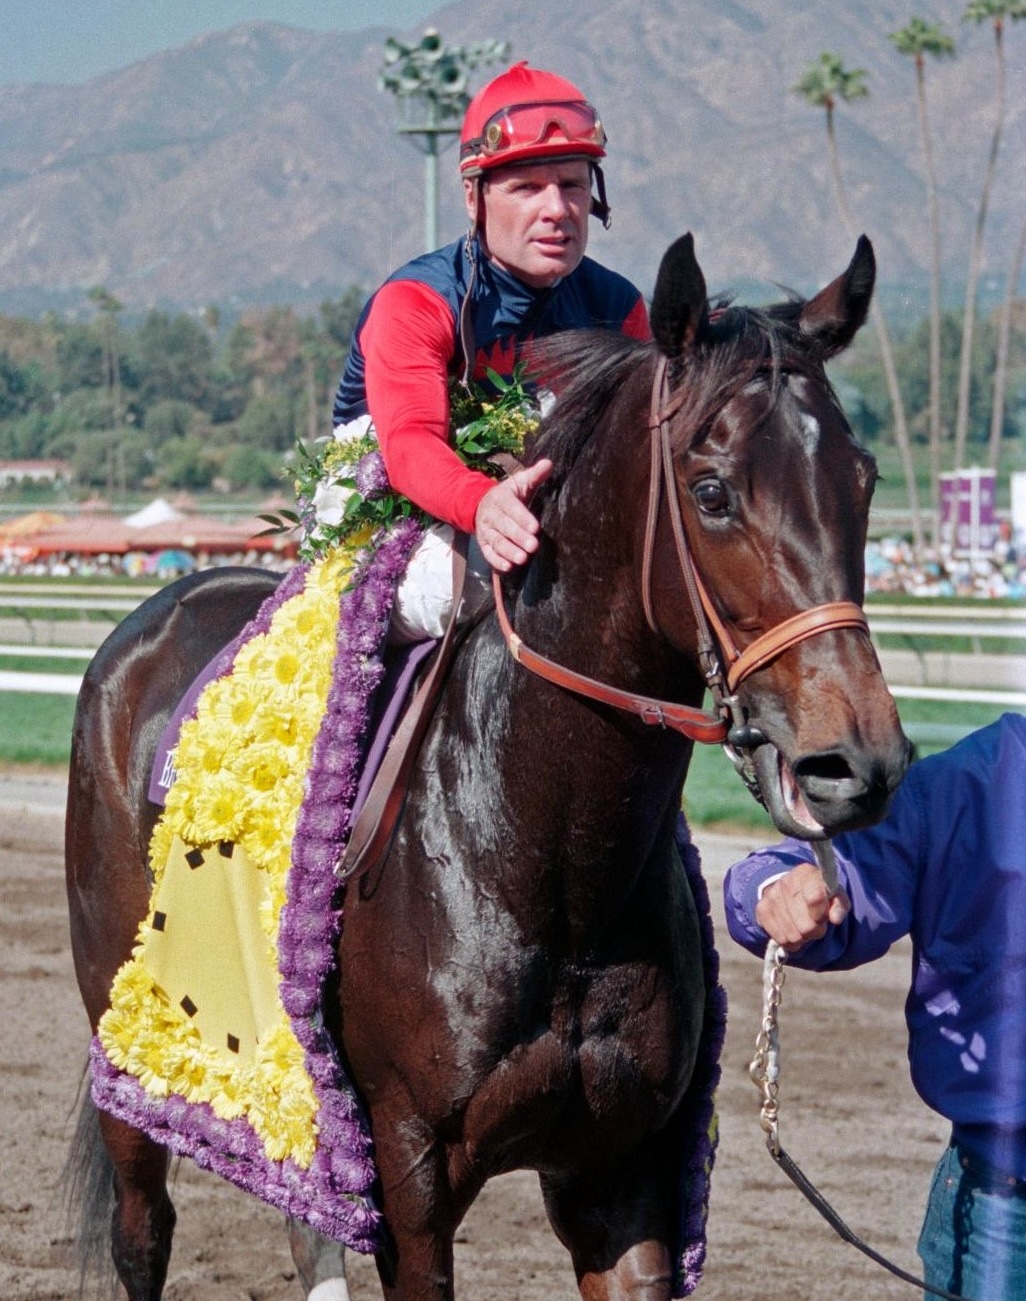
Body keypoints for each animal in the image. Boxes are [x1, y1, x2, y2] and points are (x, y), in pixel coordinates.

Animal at [67, 236, 910, 1301]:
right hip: (132, 1039)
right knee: (143, 1230)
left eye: (864, 478)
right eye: (713, 491)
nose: (859, 759)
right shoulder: (411, 1177)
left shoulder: (621, 1172)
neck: (550, 865)